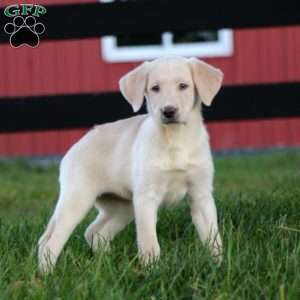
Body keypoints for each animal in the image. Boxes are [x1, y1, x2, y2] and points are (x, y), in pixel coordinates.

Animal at [38, 56, 223, 274]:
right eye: (155, 88)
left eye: (183, 86)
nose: (168, 111)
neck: (176, 139)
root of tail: (75, 146)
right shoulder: (145, 198)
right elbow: (149, 242)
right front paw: (153, 272)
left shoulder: (201, 195)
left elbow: (213, 238)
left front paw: (218, 267)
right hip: (77, 200)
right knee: (50, 242)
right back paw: (46, 275)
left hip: (121, 207)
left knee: (94, 232)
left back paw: (105, 265)